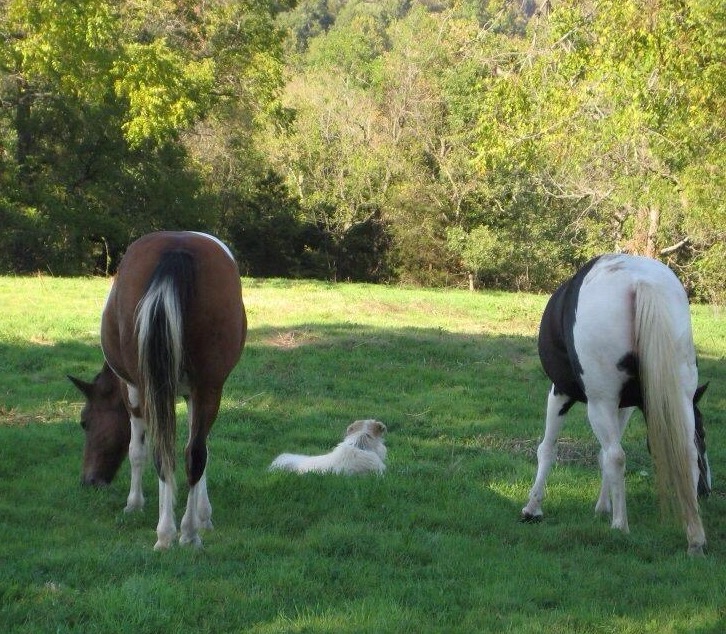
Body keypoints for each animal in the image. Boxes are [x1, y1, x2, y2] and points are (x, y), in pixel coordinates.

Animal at [69, 231, 246, 550]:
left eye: (85, 422)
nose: (89, 481)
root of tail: (177, 248)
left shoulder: (132, 392)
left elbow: (136, 451)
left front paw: (134, 504)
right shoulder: (194, 393)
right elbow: (201, 451)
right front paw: (203, 516)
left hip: (148, 388)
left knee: (161, 456)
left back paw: (165, 534)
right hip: (209, 387)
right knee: (193, 455)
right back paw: (189, 533)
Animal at [521, 253, 710, 555]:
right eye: (703, 434)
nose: (705, 492)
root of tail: (639, 280)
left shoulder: (560, 392)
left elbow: (548, 449)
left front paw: (533, 508)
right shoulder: (625, 406)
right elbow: (601, 455)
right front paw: (602, 507)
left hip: (599, 402)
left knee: (616, 456)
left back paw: (621, 526)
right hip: (676, 393)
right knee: (684, 453)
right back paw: (695, 539)